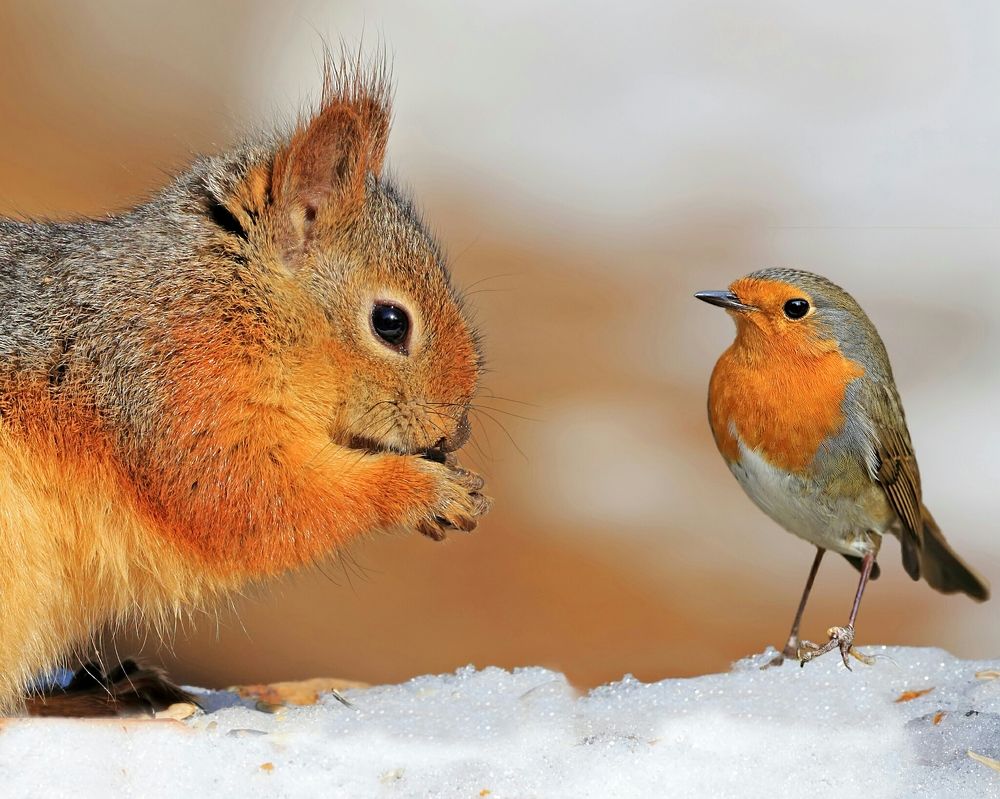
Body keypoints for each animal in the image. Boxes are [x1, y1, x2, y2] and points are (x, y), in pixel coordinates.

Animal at [0, 60, 492, 715]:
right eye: (391, 322)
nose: (455, 430)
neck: (238, 303)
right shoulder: (174, 381)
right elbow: (240, 499)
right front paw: (423, 490)